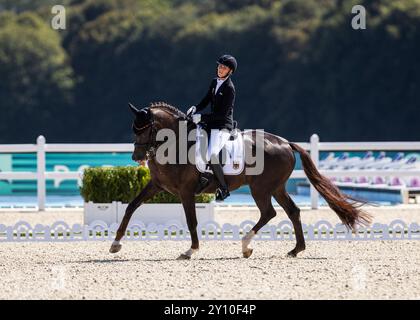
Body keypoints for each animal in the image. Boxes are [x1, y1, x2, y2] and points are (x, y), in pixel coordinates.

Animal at [109, 102, 370, 260]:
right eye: (134, 129)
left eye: (148, 129)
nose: (137, 157)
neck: (175, 145)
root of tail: (285, 143)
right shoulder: (156, 185)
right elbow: (131, 207)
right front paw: (115, 244)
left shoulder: (186, 192)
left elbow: (191, 221)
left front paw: (191, 250)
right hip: (276, 188)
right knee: (292, 211)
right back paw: (296, 249)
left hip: (261, 188)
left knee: (269, 213)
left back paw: (246, 245)